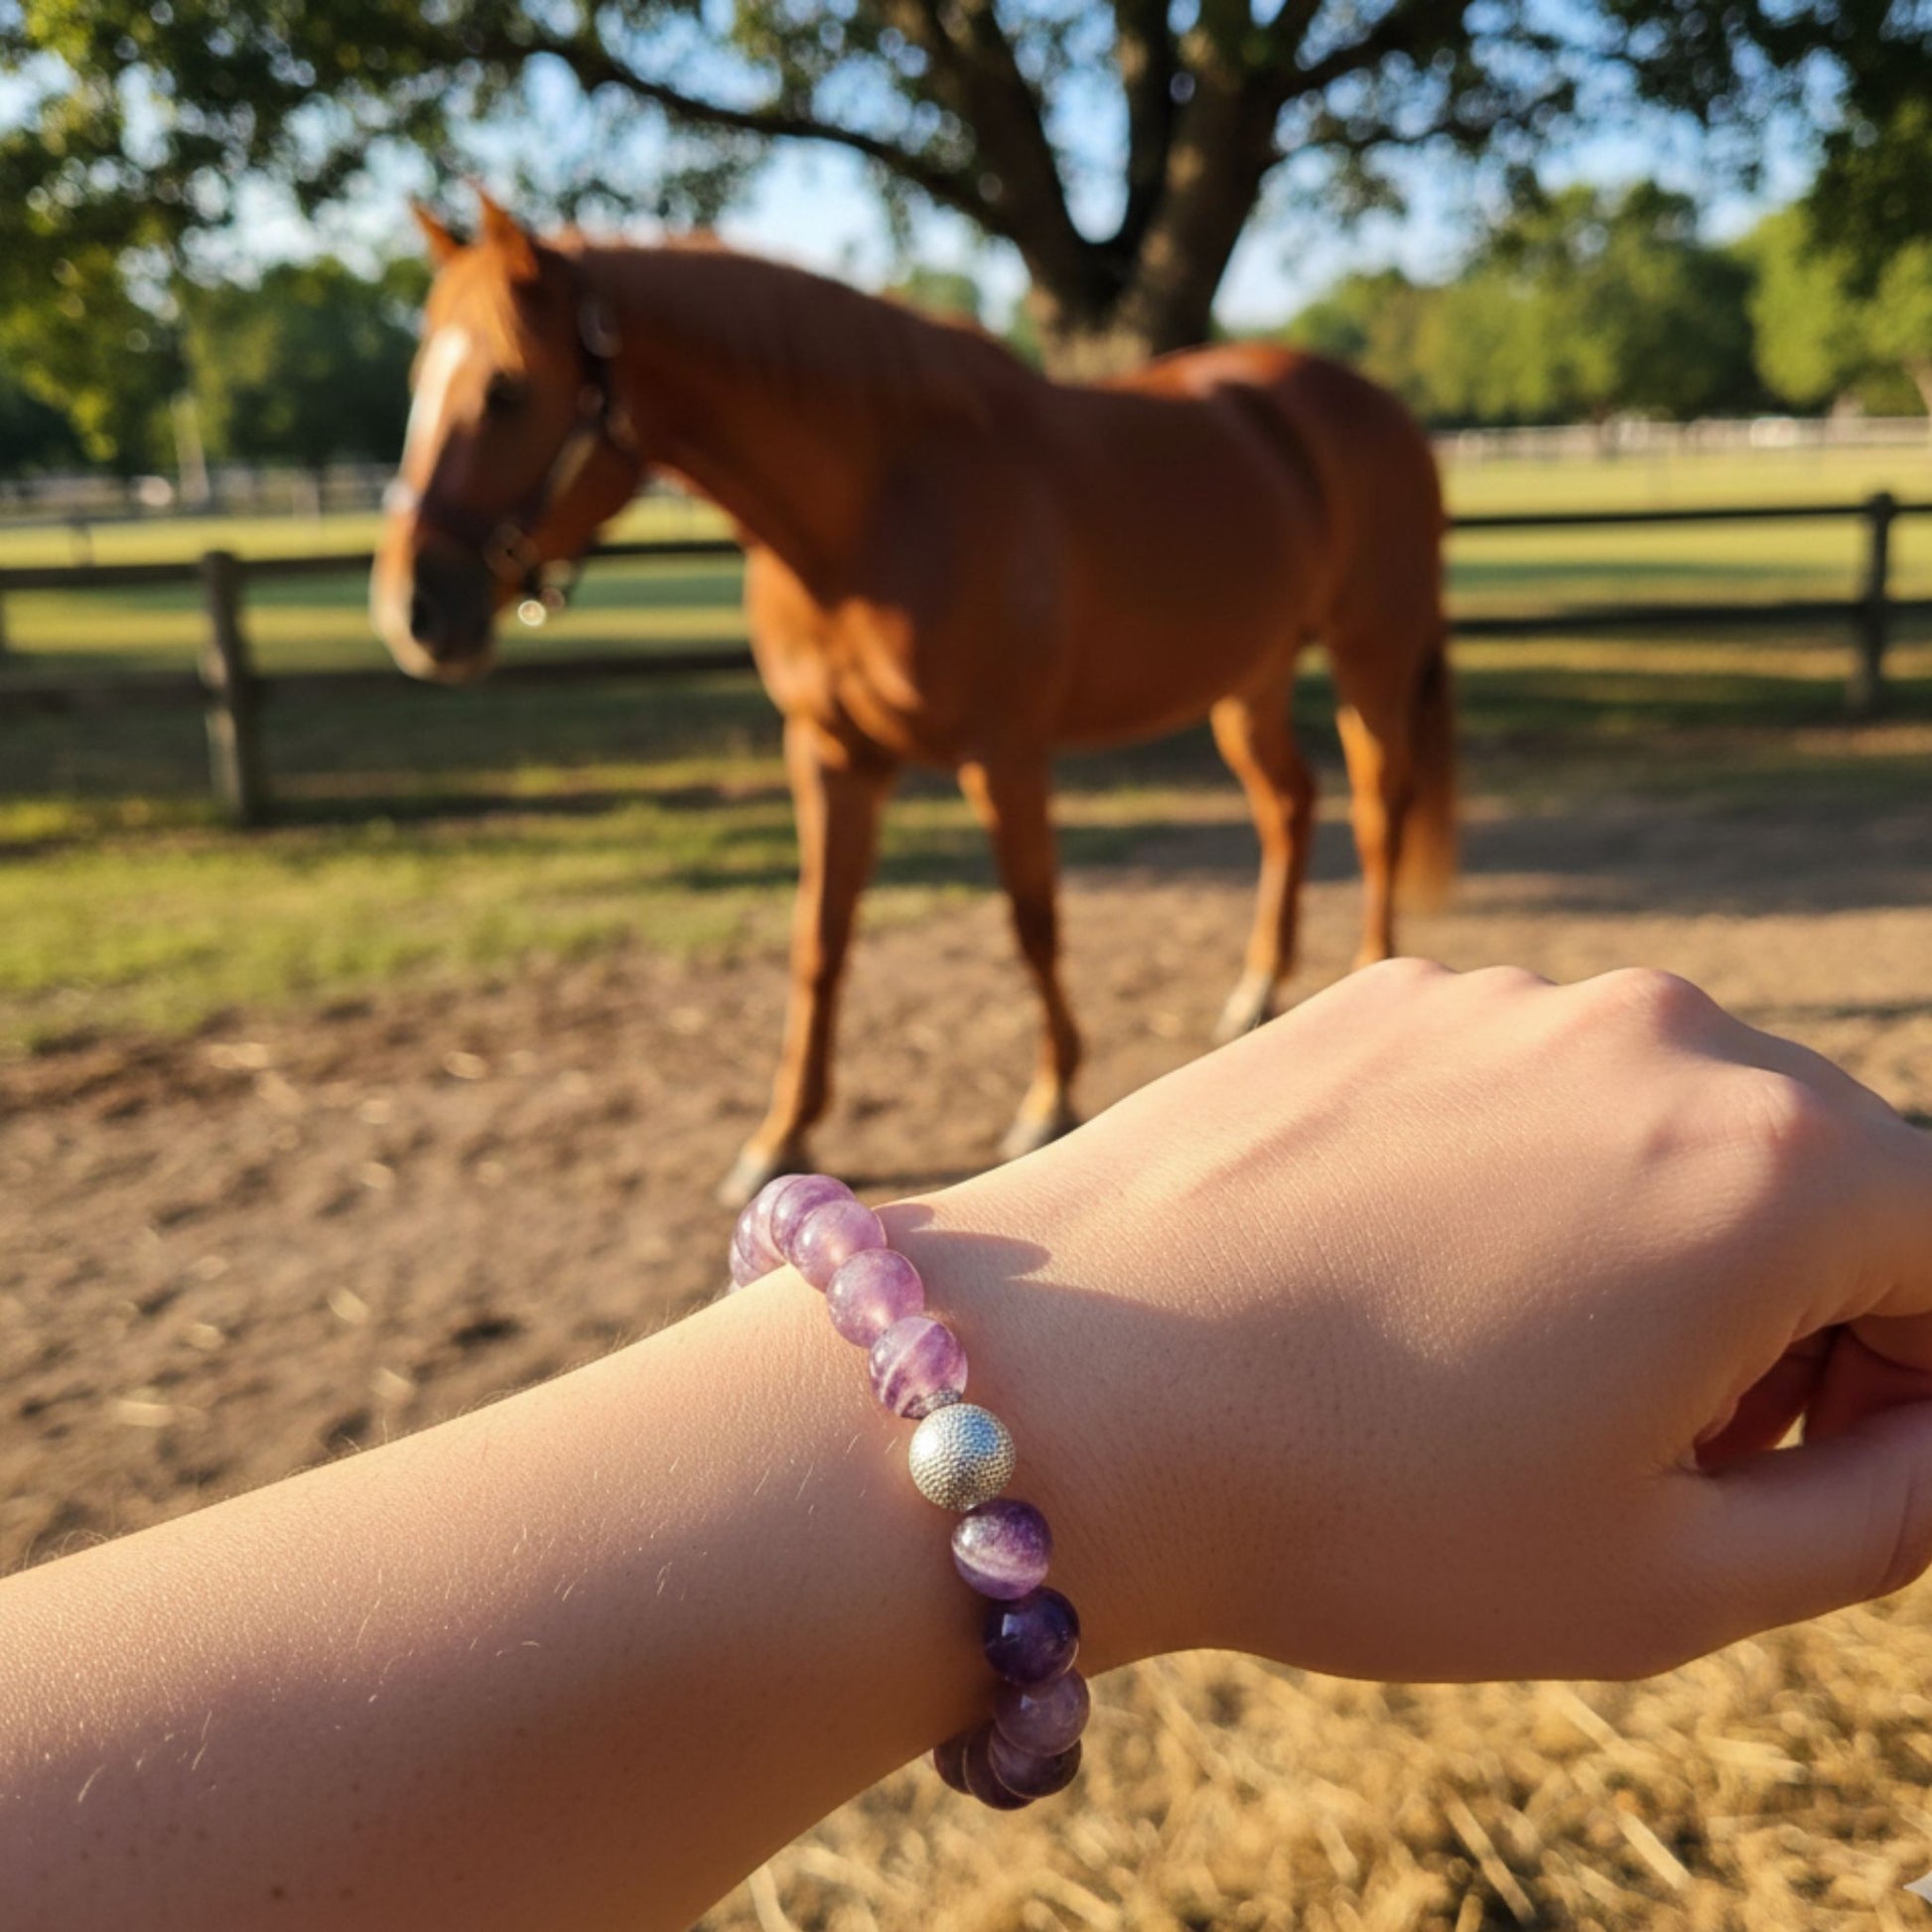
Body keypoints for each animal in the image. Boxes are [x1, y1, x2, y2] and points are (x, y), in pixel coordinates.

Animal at [371, 191, 1455, 1206]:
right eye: (418, 382)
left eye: (506, 388)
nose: (410, 610)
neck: (873, 509)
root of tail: (1377, 409)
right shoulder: (830, 754)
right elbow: (819, 941)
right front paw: (780, 1135)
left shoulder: (1003, 755)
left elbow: (1033, 923)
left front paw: (1048, 1099)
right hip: (1248, 680)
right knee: (1288, 804)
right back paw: (1256, 992)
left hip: (1368, 656)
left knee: (1375, 808)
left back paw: (1366, 974)